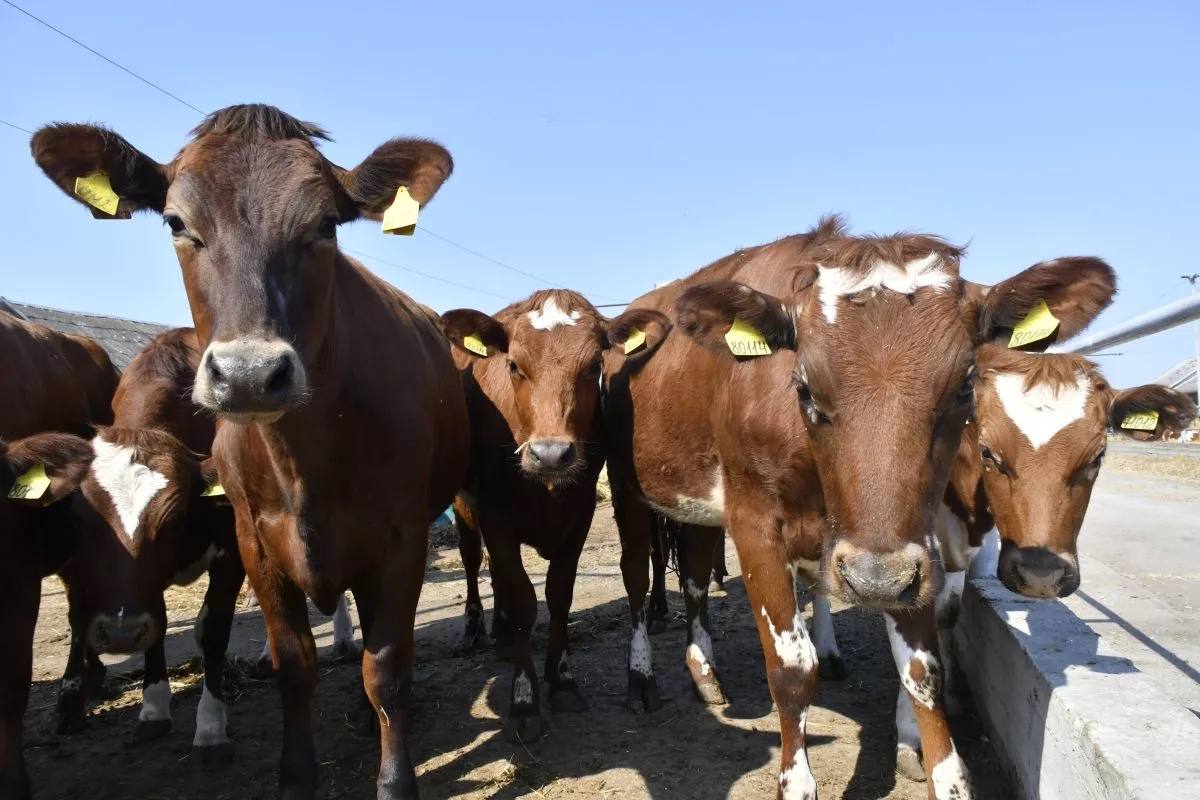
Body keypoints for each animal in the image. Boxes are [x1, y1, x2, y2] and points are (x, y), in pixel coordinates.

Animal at [32, 106, 468, 800]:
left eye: (325, 225)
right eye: (177, 223)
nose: (249, 375)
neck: (305, 457)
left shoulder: (401, 538)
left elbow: (388, 667)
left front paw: (395, 779)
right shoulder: (253, 540)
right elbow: (293, 666)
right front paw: (294, 776)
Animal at [439, 291, 643, 743]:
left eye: (594, 366)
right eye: (514, 365)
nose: (551, 454)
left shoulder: (580, 515)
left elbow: (559, 594)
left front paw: (562, 680)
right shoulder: (496, 516)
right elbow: (524, 602)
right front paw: (524, 699)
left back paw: (500, 636)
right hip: (464, 504)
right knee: (473, 560)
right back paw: (476, 630)